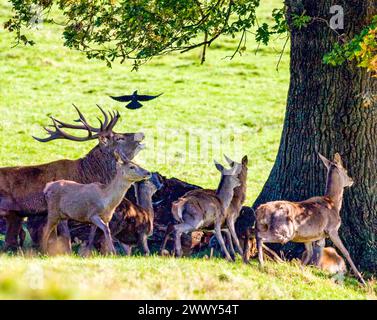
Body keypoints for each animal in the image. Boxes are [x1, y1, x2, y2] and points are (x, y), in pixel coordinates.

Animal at [253, 152, 364, 284]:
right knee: (261, 237)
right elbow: (346, 252)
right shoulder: (332, 229)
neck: (333, 204)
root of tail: (260, 211)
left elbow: (310, 253)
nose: (352, 180)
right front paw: (361, 279)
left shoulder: (310, 237)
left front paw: (303, 272)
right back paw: (261, 263)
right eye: (345, 170)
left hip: (265, 226)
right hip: (285, 231)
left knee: (254, 234)